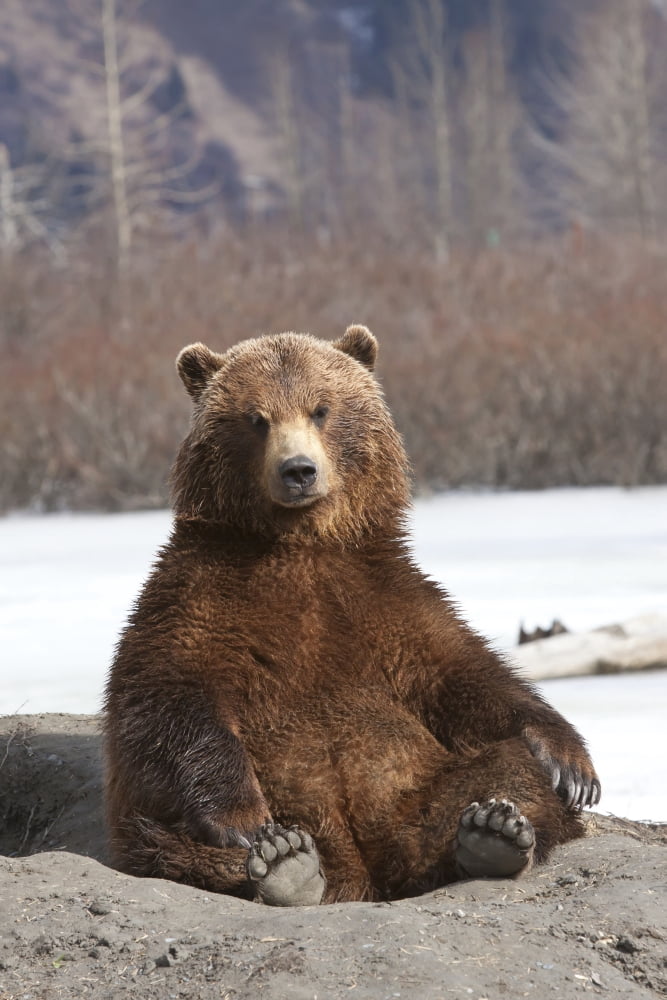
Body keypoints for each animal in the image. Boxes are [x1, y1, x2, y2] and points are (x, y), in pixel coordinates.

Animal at [104, 325, 600, 906]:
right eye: (256, 417)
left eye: (321, 409)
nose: (298, 470)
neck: (301, 544)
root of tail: (363, 873)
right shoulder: (195, 597)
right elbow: (167, 696)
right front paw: (244, 820)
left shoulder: (387, 603)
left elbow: (469, 676)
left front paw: (571, 764)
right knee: (163, 840)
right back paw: (285, 864)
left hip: (415, 790)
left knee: (505, 772)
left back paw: (493, 833)